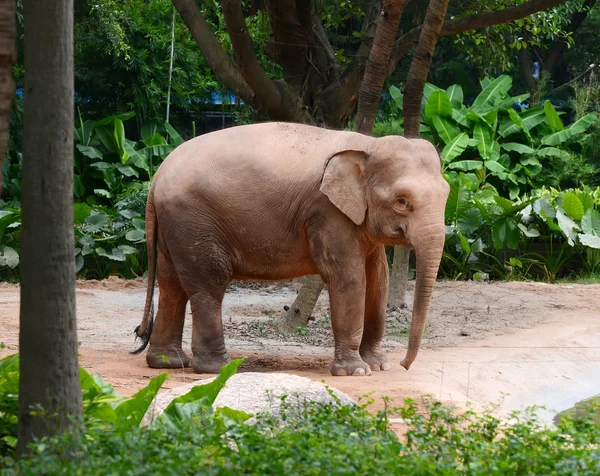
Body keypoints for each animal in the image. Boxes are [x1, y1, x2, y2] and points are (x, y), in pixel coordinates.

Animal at [132, 122, 450, 376]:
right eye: (402, 201)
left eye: (448, 193)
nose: (405, 365)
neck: (367, 144)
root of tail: (156, 177)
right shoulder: (327, 213)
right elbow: (349, 279)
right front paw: (355, 372)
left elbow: (377, 281)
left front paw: (377, 365)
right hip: (193, 222)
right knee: (208, 285)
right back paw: (218, 368)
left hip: (176, 228)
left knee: (172, 285)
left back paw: (169, 363)